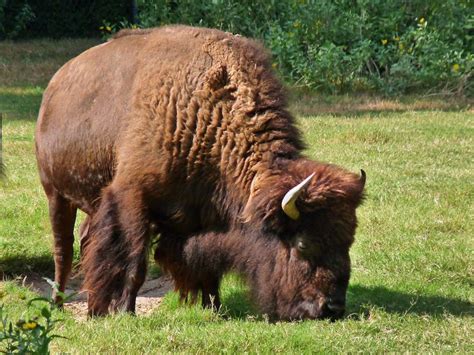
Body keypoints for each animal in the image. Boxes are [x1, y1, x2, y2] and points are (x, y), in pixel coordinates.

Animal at [35, 25, 364, 320]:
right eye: (303, 244)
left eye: (348, 240)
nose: (332, 308)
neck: (205, 115)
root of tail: (54, 86)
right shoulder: (132, 197)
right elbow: (134, 261)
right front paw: (125, 313)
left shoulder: (205, 218)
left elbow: (206, 265)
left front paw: (214, 308)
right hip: (56, 196)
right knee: (63, 251)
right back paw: (59, 305)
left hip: (90, 201)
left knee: (86, 240)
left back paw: (92, 309)